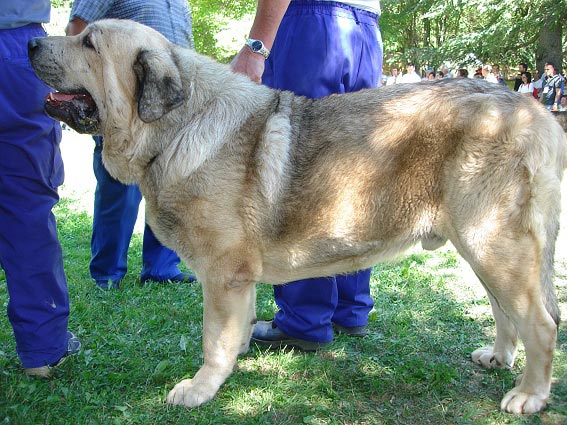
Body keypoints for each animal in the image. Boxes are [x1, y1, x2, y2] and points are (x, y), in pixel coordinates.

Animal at [28, 19, 564, 410]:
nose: (32, 41)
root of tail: (534, 111)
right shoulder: (236, 281)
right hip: (483, 249)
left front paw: (200, 389)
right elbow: (233, 329)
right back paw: (498, 357)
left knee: (540, 323)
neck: (177, 127)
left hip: (493, 243)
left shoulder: (224, 274)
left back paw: (529, 395)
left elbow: (212, 339)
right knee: (505, 312)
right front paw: (239, 352)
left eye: (89, 42)